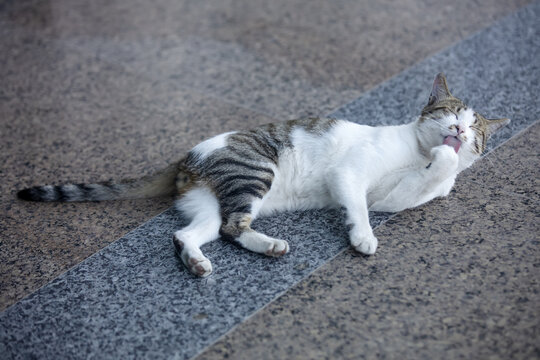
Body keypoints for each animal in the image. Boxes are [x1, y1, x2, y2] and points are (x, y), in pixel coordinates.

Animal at [15, 72, 506, 276]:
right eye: (449, 113)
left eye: (475, 129)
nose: (459, 130)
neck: (416, 152)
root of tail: (185, 158)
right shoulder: (350, 175)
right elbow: (360, 209)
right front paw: (363, 237)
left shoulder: (391, 195)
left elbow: (427, 181)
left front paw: (444, 164)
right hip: (254, 173)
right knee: (233, 226)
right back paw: (266, 246)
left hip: (211, 204)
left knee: (194, 233)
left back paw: (203, 261)